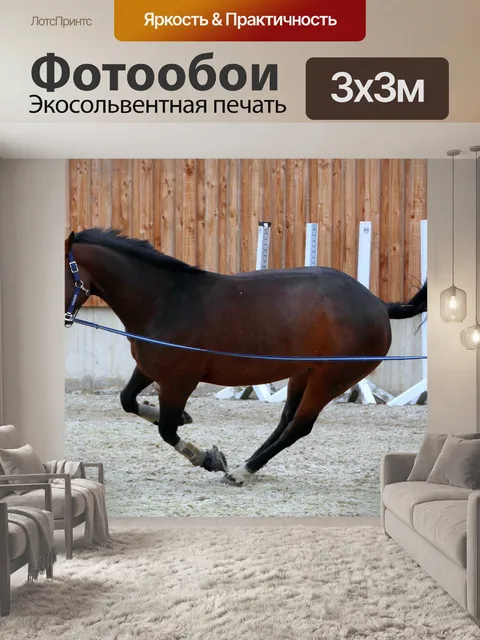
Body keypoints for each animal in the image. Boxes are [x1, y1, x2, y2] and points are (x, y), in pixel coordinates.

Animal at [64, 227, 427, 486]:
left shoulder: (179, 380)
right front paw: (187, 423)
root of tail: (378, 305)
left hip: (330, 379)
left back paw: (242, 471)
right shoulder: (151, 369)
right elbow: (127, 400)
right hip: (304, 373)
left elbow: (167, 429)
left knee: (298, 426)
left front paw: (207, 458)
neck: (166, 300)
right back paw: (246, 465)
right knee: (285, 421)